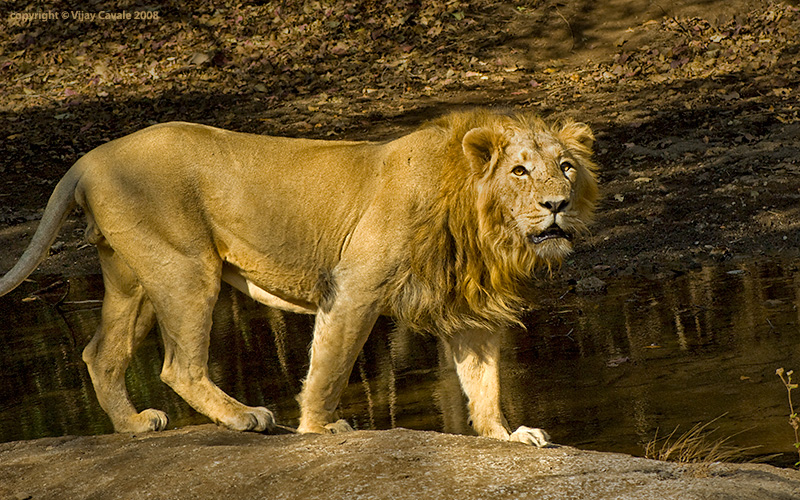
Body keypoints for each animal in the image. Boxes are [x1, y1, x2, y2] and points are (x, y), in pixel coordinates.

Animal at [0, 109, 598, 445]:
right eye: (518, 170)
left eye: (566, 167)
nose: (557, 205)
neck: (485, 231)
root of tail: (90, 158)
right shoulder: (356, 286)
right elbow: (330, 367)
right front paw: (318, 429)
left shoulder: (469, 306)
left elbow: (483, 379)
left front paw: (507, 435)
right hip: (186, 267)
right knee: (178, 366)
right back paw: (246, 418)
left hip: (134, 279)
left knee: (100, 353)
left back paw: (133, 426)